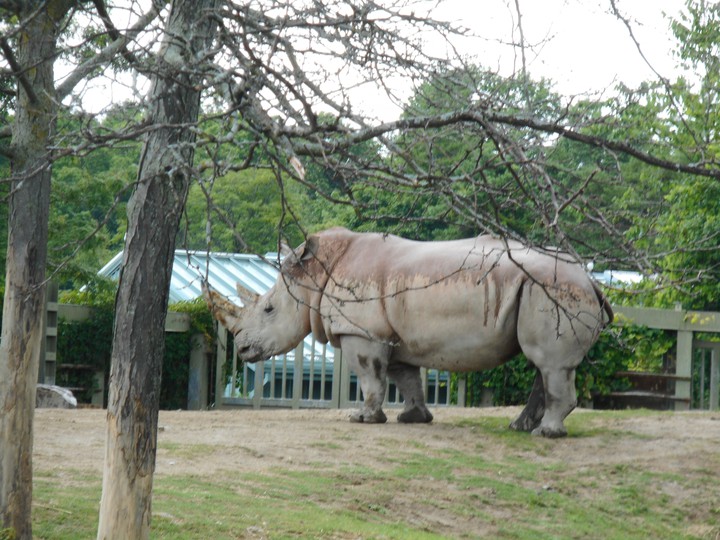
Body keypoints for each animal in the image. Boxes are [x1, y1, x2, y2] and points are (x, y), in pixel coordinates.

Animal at [203, 227, 613, 438]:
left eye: (269, 310)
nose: (242, 349)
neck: (312, 277)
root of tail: (591, 280)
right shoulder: (394, 335)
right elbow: (406, 377)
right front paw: (412, 419)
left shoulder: (362, 332)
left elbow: (370, 377)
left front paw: (363, 420)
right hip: (543, 290)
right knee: (543, 364)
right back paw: (521, 427)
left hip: (553, 290)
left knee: (550, 363)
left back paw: (546, 433)